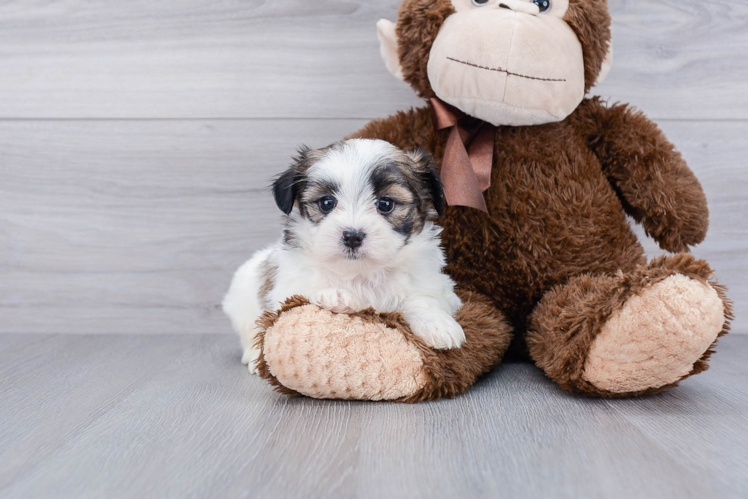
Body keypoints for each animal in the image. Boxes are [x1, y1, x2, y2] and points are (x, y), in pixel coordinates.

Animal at [222, 139, 464, 374]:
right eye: (327, 203)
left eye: (385, 204)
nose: (352, 236)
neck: (360, 272)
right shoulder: (286, 286)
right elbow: (302, 292)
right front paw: (334, 295)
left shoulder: (434, 283)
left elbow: (423, 298)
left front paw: (439, 324)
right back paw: (255, 358)